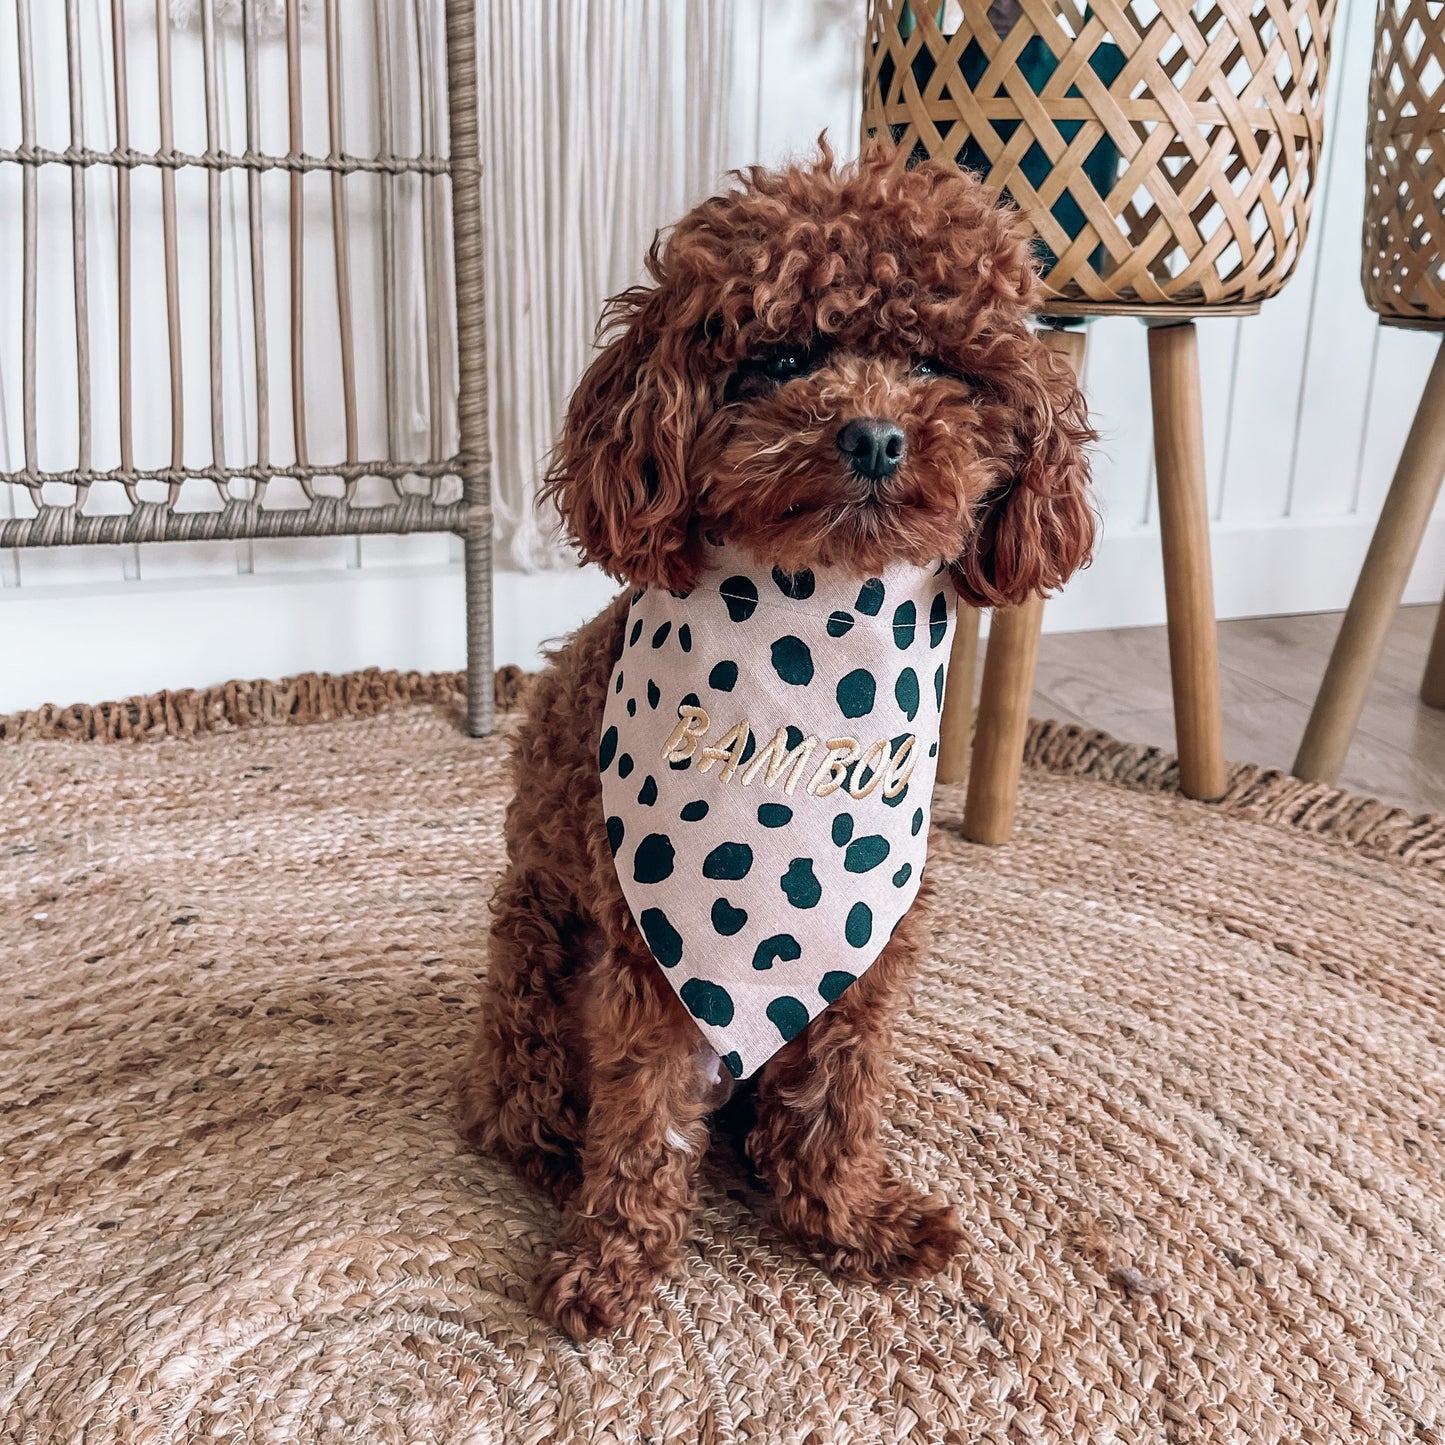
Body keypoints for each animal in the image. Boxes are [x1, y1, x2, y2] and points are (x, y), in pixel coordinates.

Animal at [462, 140, 1092, 1335]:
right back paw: (551, 1150)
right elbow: (645, 1124)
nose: (876, 436)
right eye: (784, 355)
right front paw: (610, 1261)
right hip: (531, 947)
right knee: (523, 1103)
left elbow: (837, 1098)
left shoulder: (869, 952)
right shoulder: (646, 966)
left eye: (938, 364)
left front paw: (847, 1219)